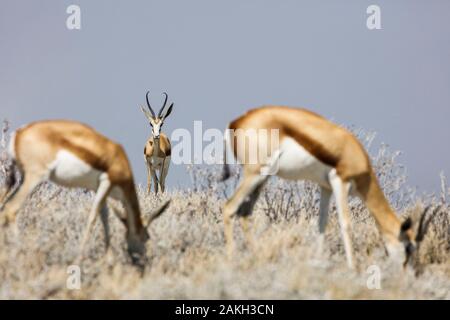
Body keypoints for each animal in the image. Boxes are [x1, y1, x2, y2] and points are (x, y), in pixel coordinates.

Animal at [0, 120, 171, 264]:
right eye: (146, 237)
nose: (142, 261)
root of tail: (19, 134)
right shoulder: (106, 184)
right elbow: (93, 218)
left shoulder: (99, 189)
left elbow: (104, 218)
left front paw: (108, 258)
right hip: (34, 177)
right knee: (11, 210)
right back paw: (21, 252)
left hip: (18, 178)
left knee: (4, 207)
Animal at [221, 106, 432, 268]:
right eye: (409, 246)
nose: (410, 273)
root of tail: (236, 122)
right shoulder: (340, 182)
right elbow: (345, 224)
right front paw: (353, 268)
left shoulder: (326, 188)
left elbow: (322, 223)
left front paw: (318, 261)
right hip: (254, 175)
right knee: (229, 208)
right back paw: (232, 260)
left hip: (262, 178)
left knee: (245, 212)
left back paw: (256, 256)